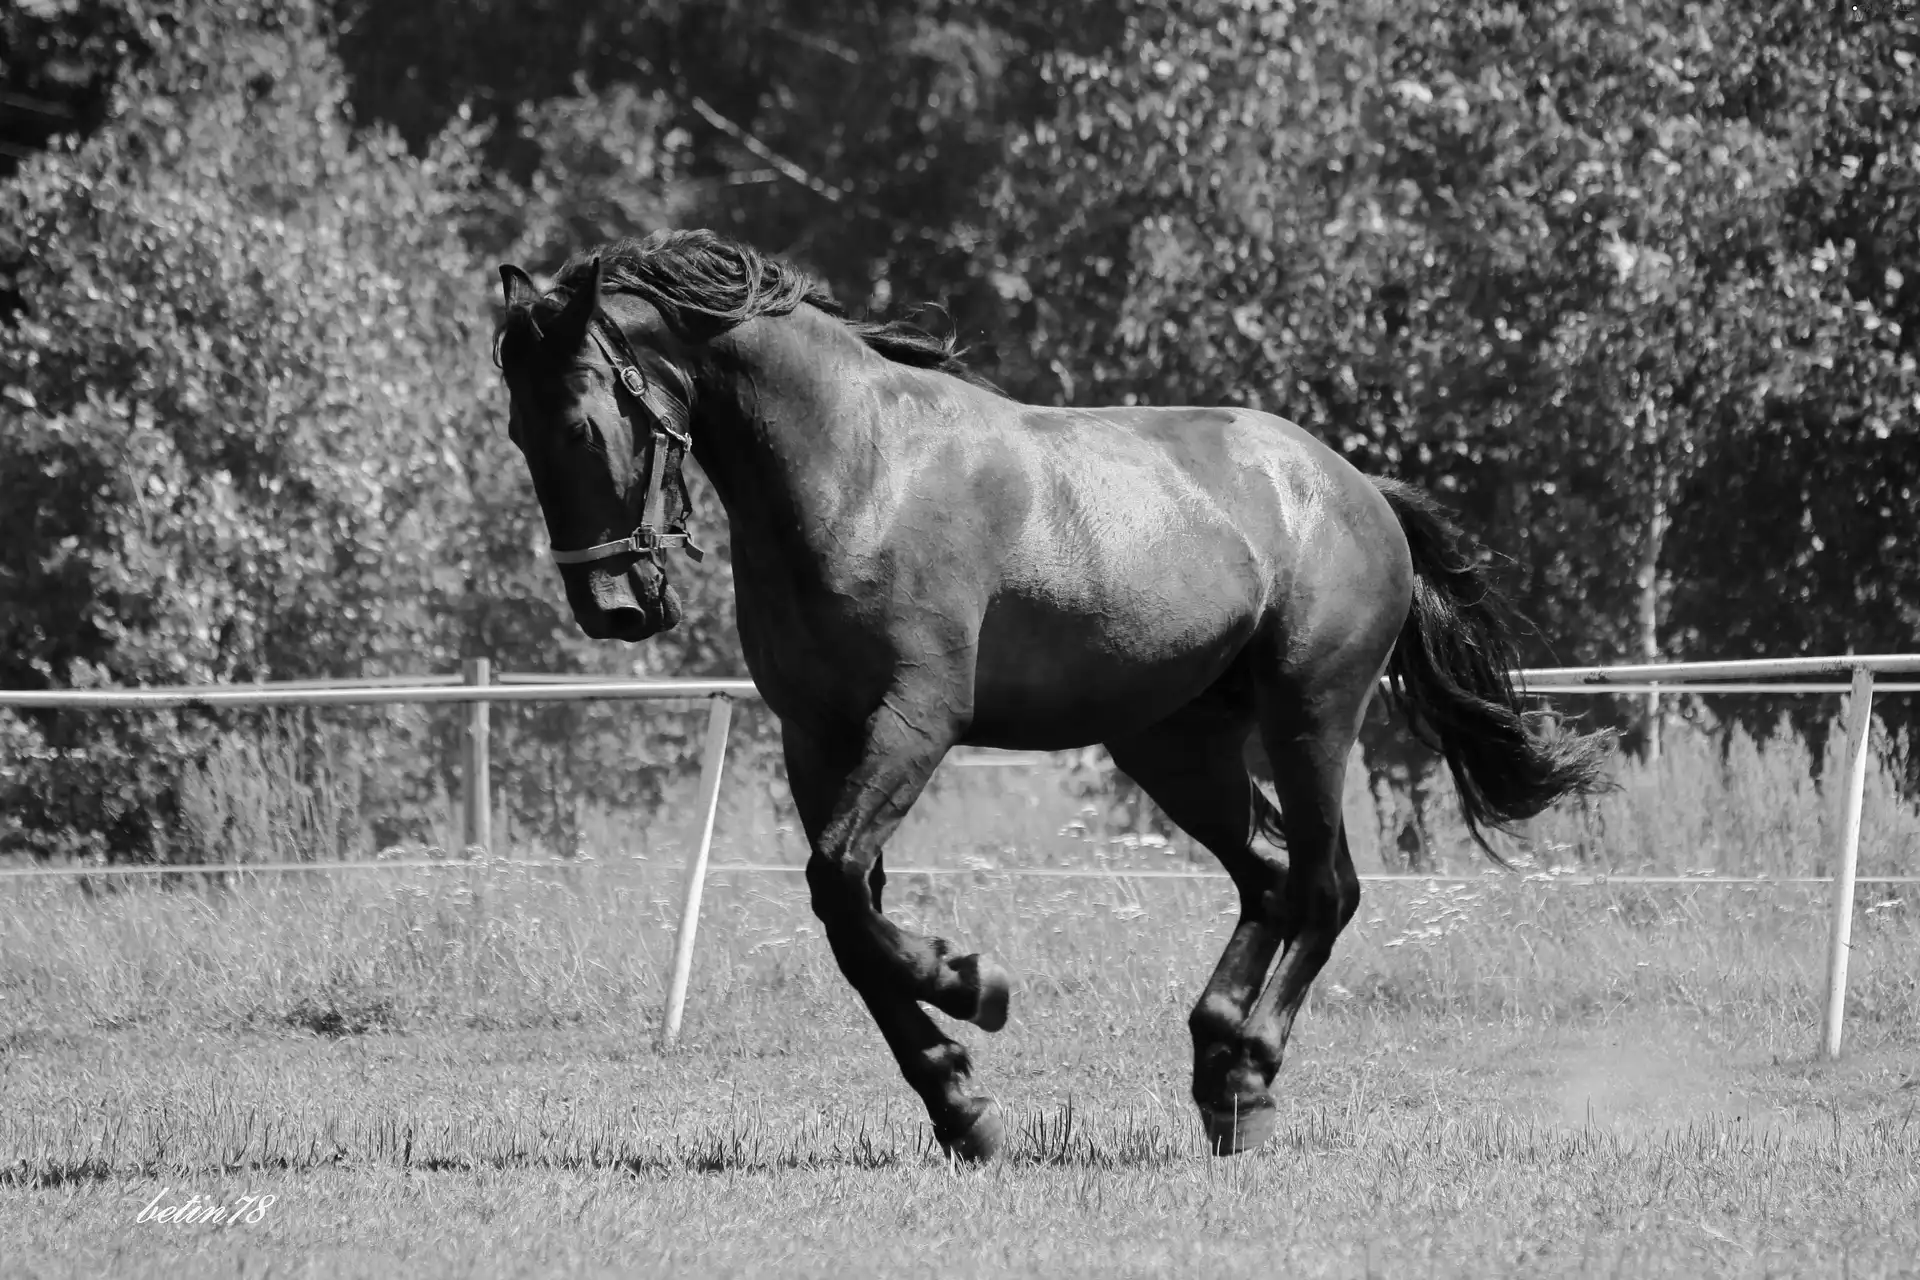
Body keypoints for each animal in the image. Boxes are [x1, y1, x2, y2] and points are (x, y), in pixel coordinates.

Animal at [487, 227, 1612, 1159]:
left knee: (1322, 890)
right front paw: (962, 1101)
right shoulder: (817, 739)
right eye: (517, 433)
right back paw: (1217, 1069)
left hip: (1311, 716)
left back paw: (1248, 1074)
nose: (613, 606)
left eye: (581, 423)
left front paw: (972, 986)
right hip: (1174, 745)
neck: (858, 472)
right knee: (1267, 875)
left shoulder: (916, 722)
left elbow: (840, 885)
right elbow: (849, 919)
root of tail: (1356, 487)